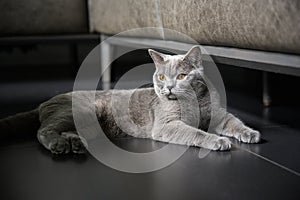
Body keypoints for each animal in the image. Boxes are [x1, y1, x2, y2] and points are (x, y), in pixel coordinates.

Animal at [0, 46, 260, 154]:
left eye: (182, 76)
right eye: (161, 76)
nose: (167, 87)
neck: (192, 101)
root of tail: (44, 102)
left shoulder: (219, 114)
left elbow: (234, 122)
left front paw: (250, 134)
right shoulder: (166, 125)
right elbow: (195, 133)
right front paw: (218, 141)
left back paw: (75, 143)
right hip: (78, 112)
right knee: (43, 130)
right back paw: (60, 145)